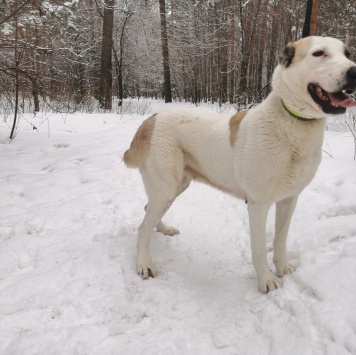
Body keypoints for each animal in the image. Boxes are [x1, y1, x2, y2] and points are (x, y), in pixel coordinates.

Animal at [123, 36, 356, 294]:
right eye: (319, 53)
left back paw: (163, 229)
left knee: (148, 211)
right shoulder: (258, 204)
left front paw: (283, 267)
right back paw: (144, 264)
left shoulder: (289, 199)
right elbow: (259, 248)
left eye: (347, 54)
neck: (294, 123)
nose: (354, 71)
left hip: (174, 187)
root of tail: (150, 120)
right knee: (143, 227)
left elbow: (280, 239)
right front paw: (266, 280)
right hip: (166, 186)